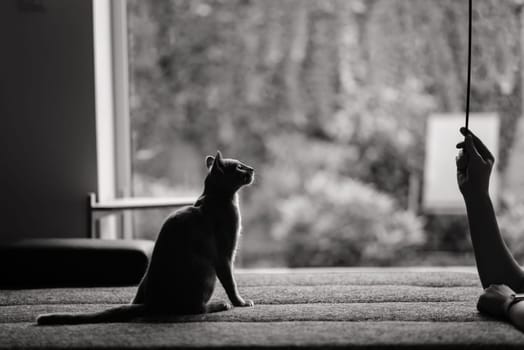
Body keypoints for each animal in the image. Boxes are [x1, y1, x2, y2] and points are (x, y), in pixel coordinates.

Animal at [37, 151, 255, 326]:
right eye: (239, 166)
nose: (252, 168)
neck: (214, 198)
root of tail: (152, 302)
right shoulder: (225, 256)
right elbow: (232, 284)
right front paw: (241, 303)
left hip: (147, 279)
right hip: (207, 271)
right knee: (196, 308)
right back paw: (220, 304)